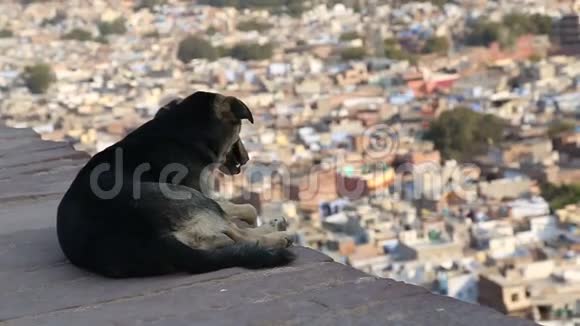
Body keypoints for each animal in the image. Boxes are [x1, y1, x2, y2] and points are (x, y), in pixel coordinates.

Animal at [56, 91, 294, 278]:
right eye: (239, 133)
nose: (246, 159)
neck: (181, 128)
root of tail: (153, 240)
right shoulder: (201, 191)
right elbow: (249, 209)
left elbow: (241, 208)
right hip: (188, 196)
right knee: (238, 235)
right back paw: (276, 236)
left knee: (222, 239)